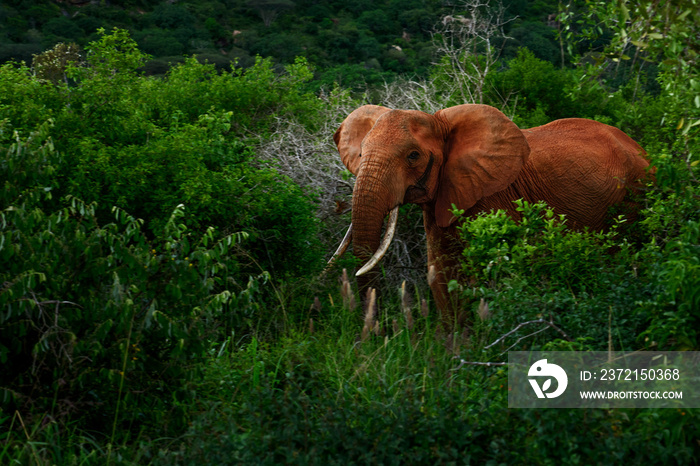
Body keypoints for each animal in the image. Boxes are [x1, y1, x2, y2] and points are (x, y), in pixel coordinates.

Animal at [328, 104, 652, 326]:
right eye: (361, 154)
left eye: (413, 156)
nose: (379, 327)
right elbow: (439, 277)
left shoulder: (495, 197)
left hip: (636, 194)